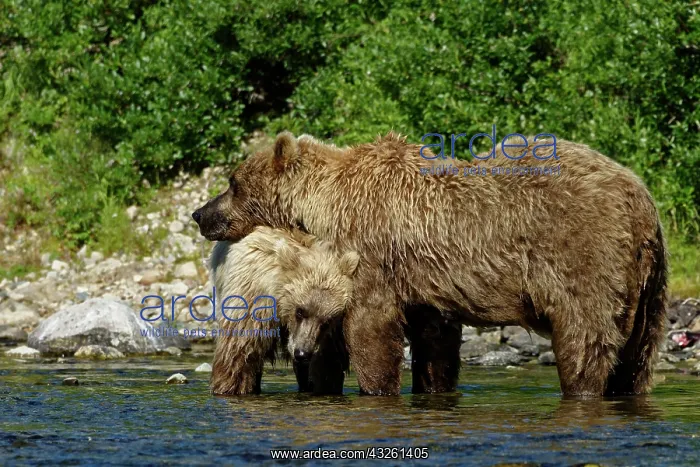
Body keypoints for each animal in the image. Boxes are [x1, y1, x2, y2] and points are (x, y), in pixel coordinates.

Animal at [208, 226, 359, 395]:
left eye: (327, 321)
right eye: (300, 311)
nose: (302, 353)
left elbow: (328, 364)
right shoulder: (254, 296)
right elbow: (240, 350)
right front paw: (229, 386)